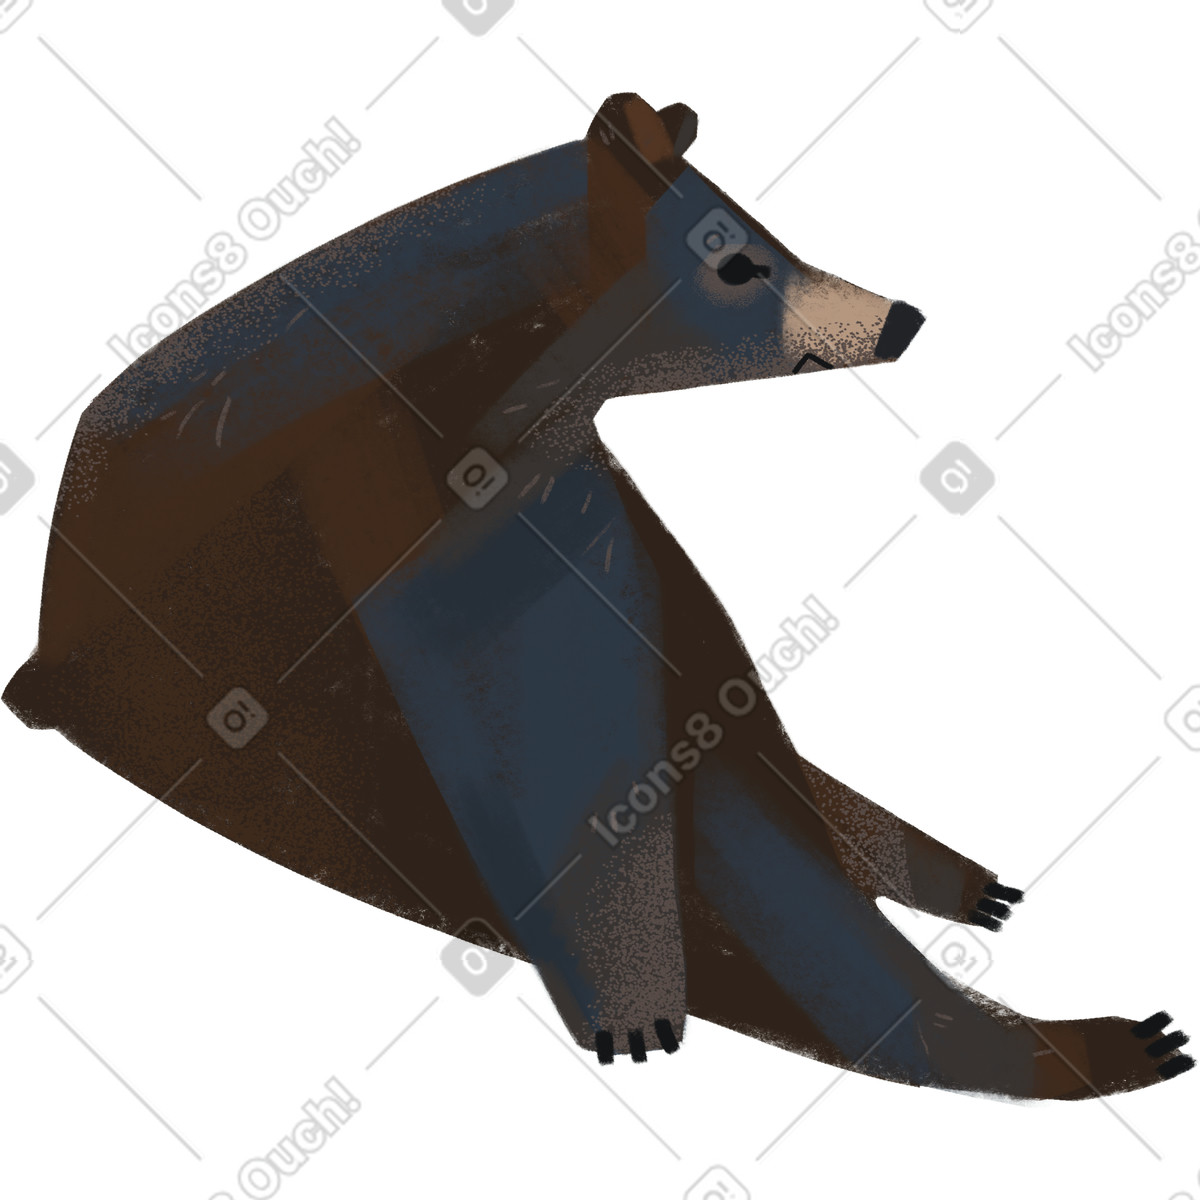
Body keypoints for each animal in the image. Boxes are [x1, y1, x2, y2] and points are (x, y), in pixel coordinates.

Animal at [4, 92, 1190, 1097]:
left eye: (767, 238)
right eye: (740, 267)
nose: (902, 317)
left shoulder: (563, 505)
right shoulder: (412, 517)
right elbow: (559, 745)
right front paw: (640, 1012)